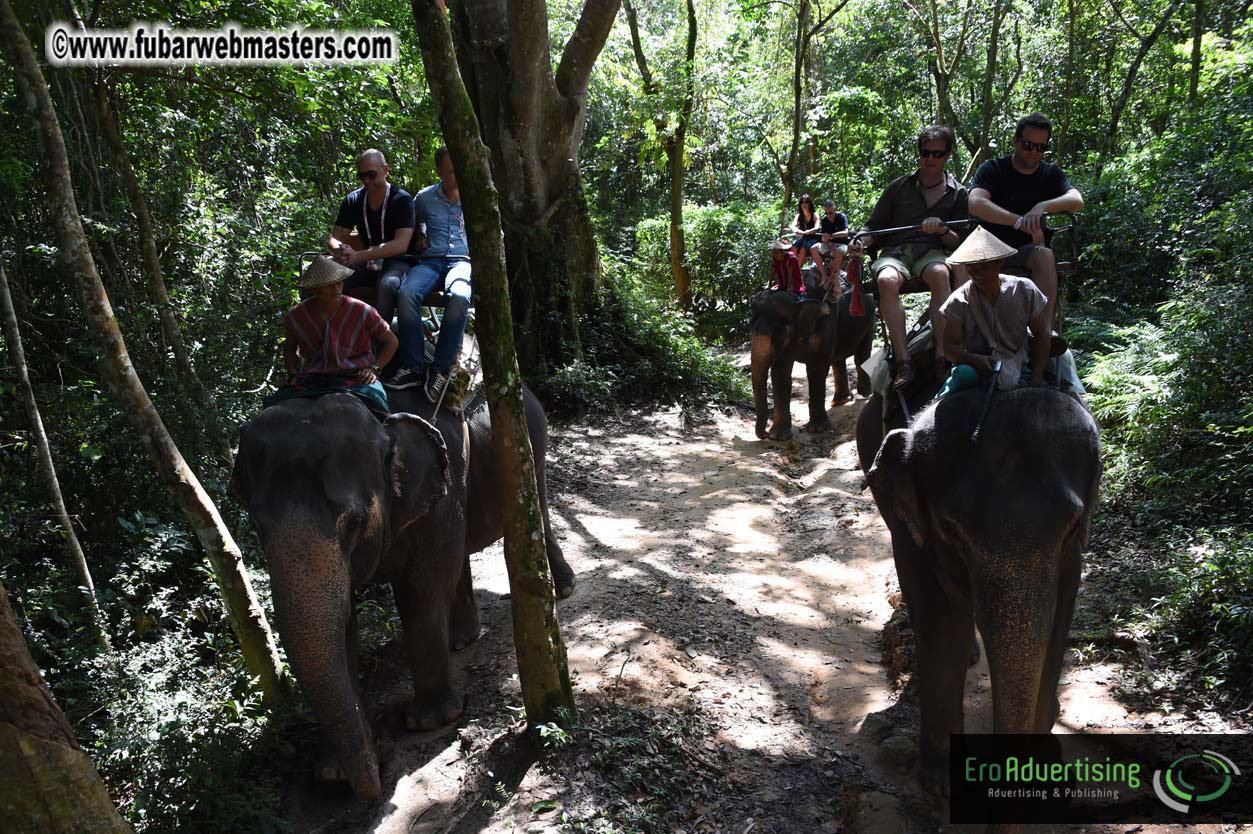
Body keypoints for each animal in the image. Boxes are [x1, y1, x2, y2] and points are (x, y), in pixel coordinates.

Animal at [229, 385, 572, 800]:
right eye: (256, 526)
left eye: (353, 523)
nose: (374, 783)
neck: (380, 419)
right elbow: (344, 621)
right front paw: (332, 770)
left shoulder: (443, 488)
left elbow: (424, 586)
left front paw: (430, 721)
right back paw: (461, 640)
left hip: (530, 440)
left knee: (536, 508)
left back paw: (563, 587)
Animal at [750, 282, 877, 440]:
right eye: (750, 325)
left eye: (778, 330)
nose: (765, 434)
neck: (797, 297)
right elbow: (780, 373)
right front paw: (778, 437)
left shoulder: (826, 325)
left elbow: (816, 368)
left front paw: (817, 429)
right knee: (838, 360)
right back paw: (840, 401)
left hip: (870, 320)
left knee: (861, 354)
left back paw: (864, 393)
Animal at [856, 385, 1100, 804]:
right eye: (953, 531)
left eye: (1071, 527)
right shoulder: (912, 525)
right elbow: (939, 623)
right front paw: (941, 783)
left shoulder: (1071, 551)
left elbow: (1059, 617)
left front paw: (1046, 771)